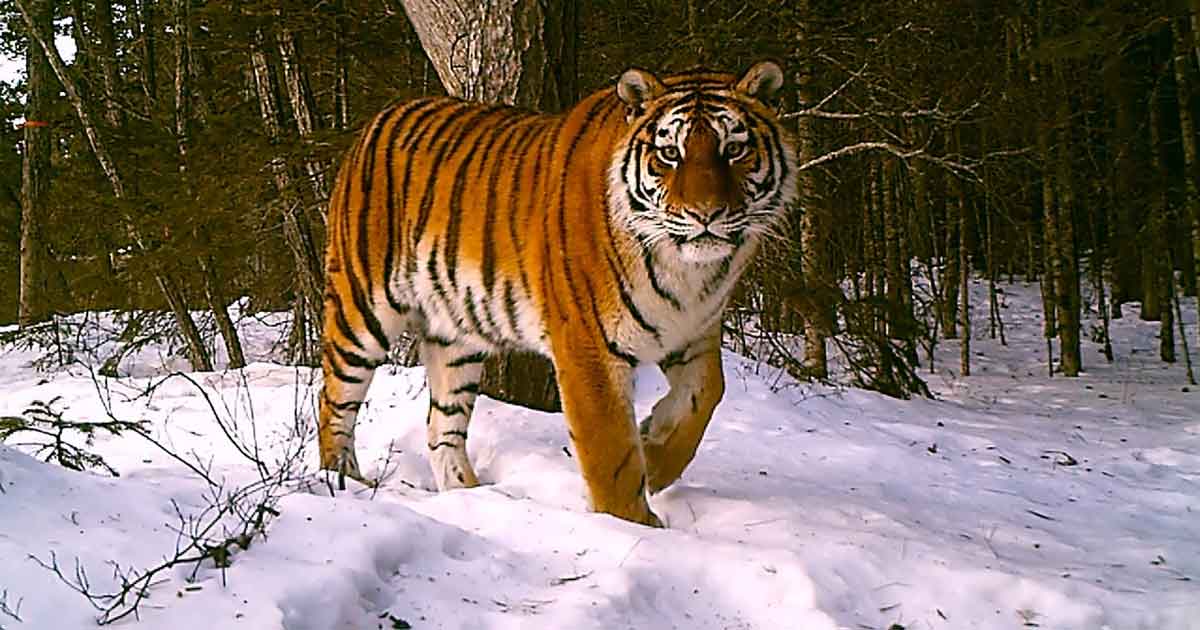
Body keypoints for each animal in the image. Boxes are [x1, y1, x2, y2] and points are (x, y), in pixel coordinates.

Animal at [317, 60, 798, 527]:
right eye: (669, 154)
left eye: (733, 149)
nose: (705, 214)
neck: (690, 273)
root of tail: (381, 116)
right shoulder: (589, 346)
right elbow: (610, 452)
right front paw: (634, 524)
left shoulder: (694, 331)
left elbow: (706, 395)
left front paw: (655, 458)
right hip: (362, 310)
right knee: (334, 400)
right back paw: (342, 481)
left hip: (455, 336)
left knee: (442, 426)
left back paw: (471, 495)